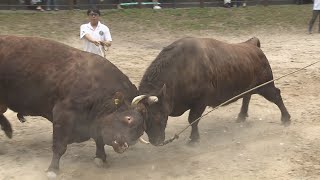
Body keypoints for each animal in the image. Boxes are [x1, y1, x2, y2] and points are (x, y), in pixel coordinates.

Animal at [0, 34, 154, 177]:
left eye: (142, 128)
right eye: (129, 118)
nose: (126, 144)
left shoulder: (95, 122)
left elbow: (99, 139)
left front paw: (101, 158)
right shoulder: (62, 115)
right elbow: (59, 146)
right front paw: (52, 169)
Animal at [136, 37, 292, 146]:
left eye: (160, 115)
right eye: (143, 117)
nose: (156, 141)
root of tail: (253, 45)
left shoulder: (200, 102)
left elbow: (193, 119)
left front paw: (194, 139)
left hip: (266, 85)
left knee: (276, 96)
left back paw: (286, 119)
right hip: (250, 86)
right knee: (246, 97)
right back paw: (241, 116)